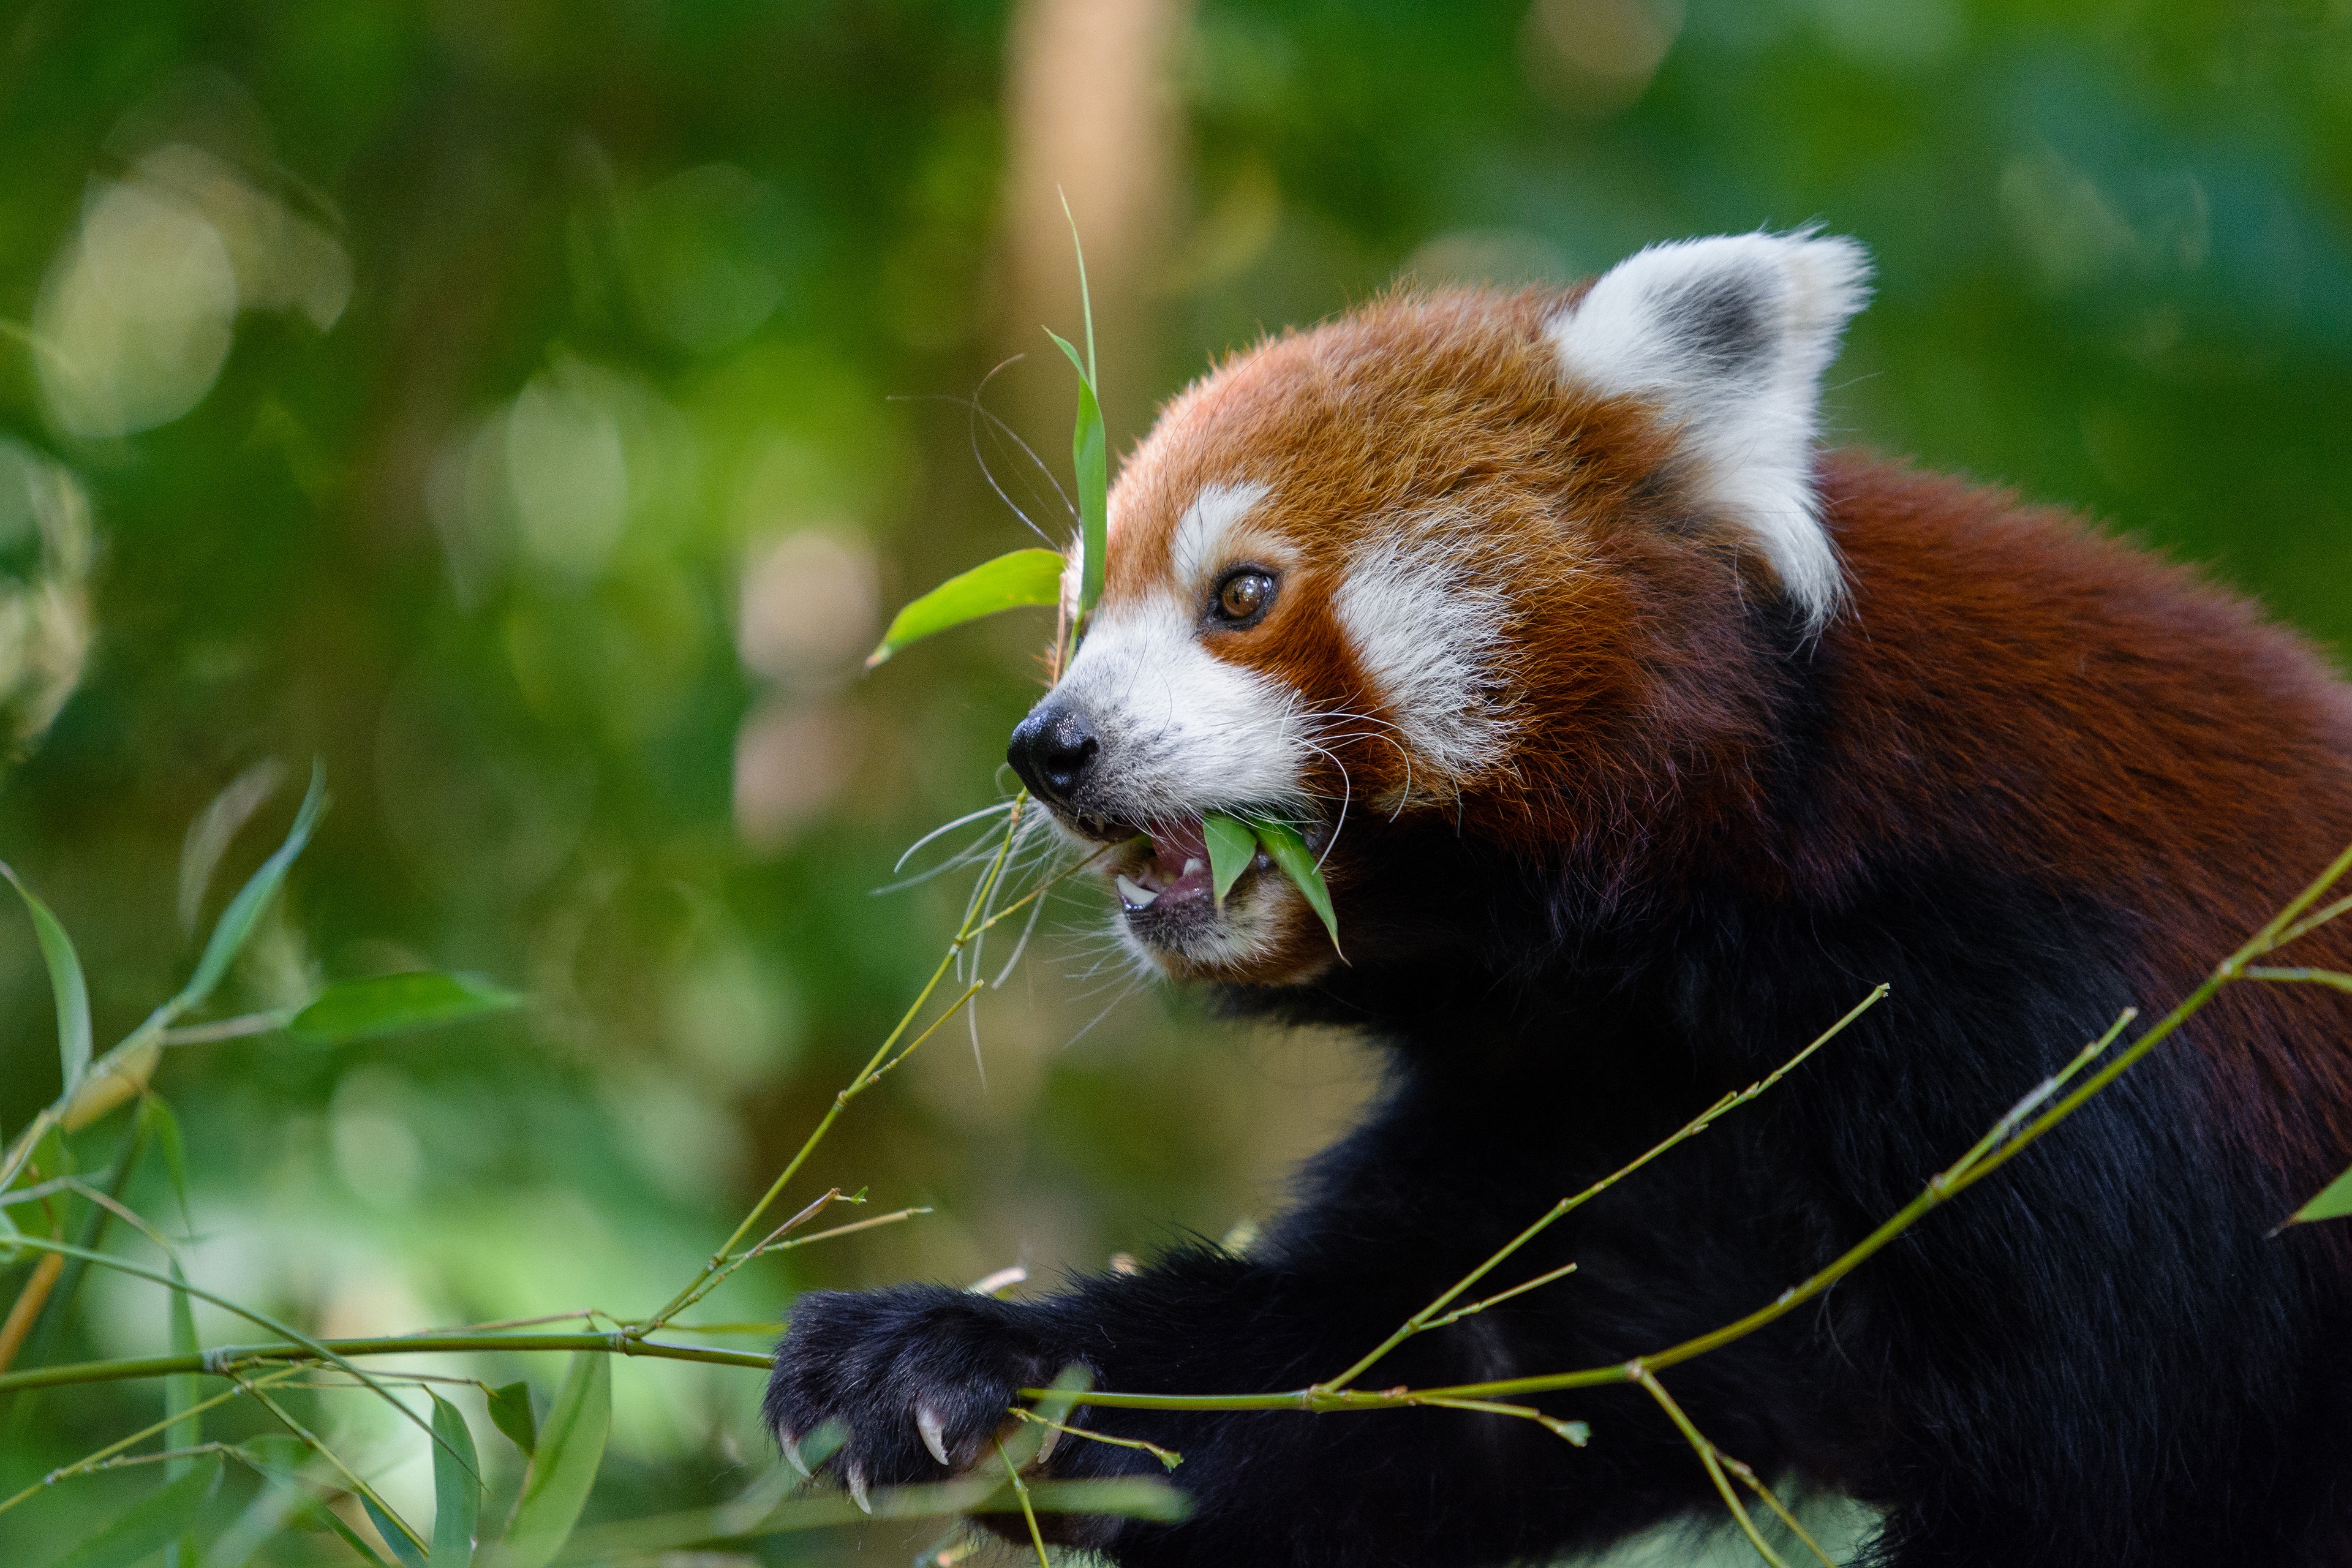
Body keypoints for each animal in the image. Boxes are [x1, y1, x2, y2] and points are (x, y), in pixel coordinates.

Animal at [766, 232, 2352, 1568]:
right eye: (1079, 616)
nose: (1050, 746)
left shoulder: (2061, 1045)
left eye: (1241, 594)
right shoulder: (1586, 1094)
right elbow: (1425, 1378)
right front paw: (954, 1364)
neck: (1713, 920)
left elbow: (2108, 1481)